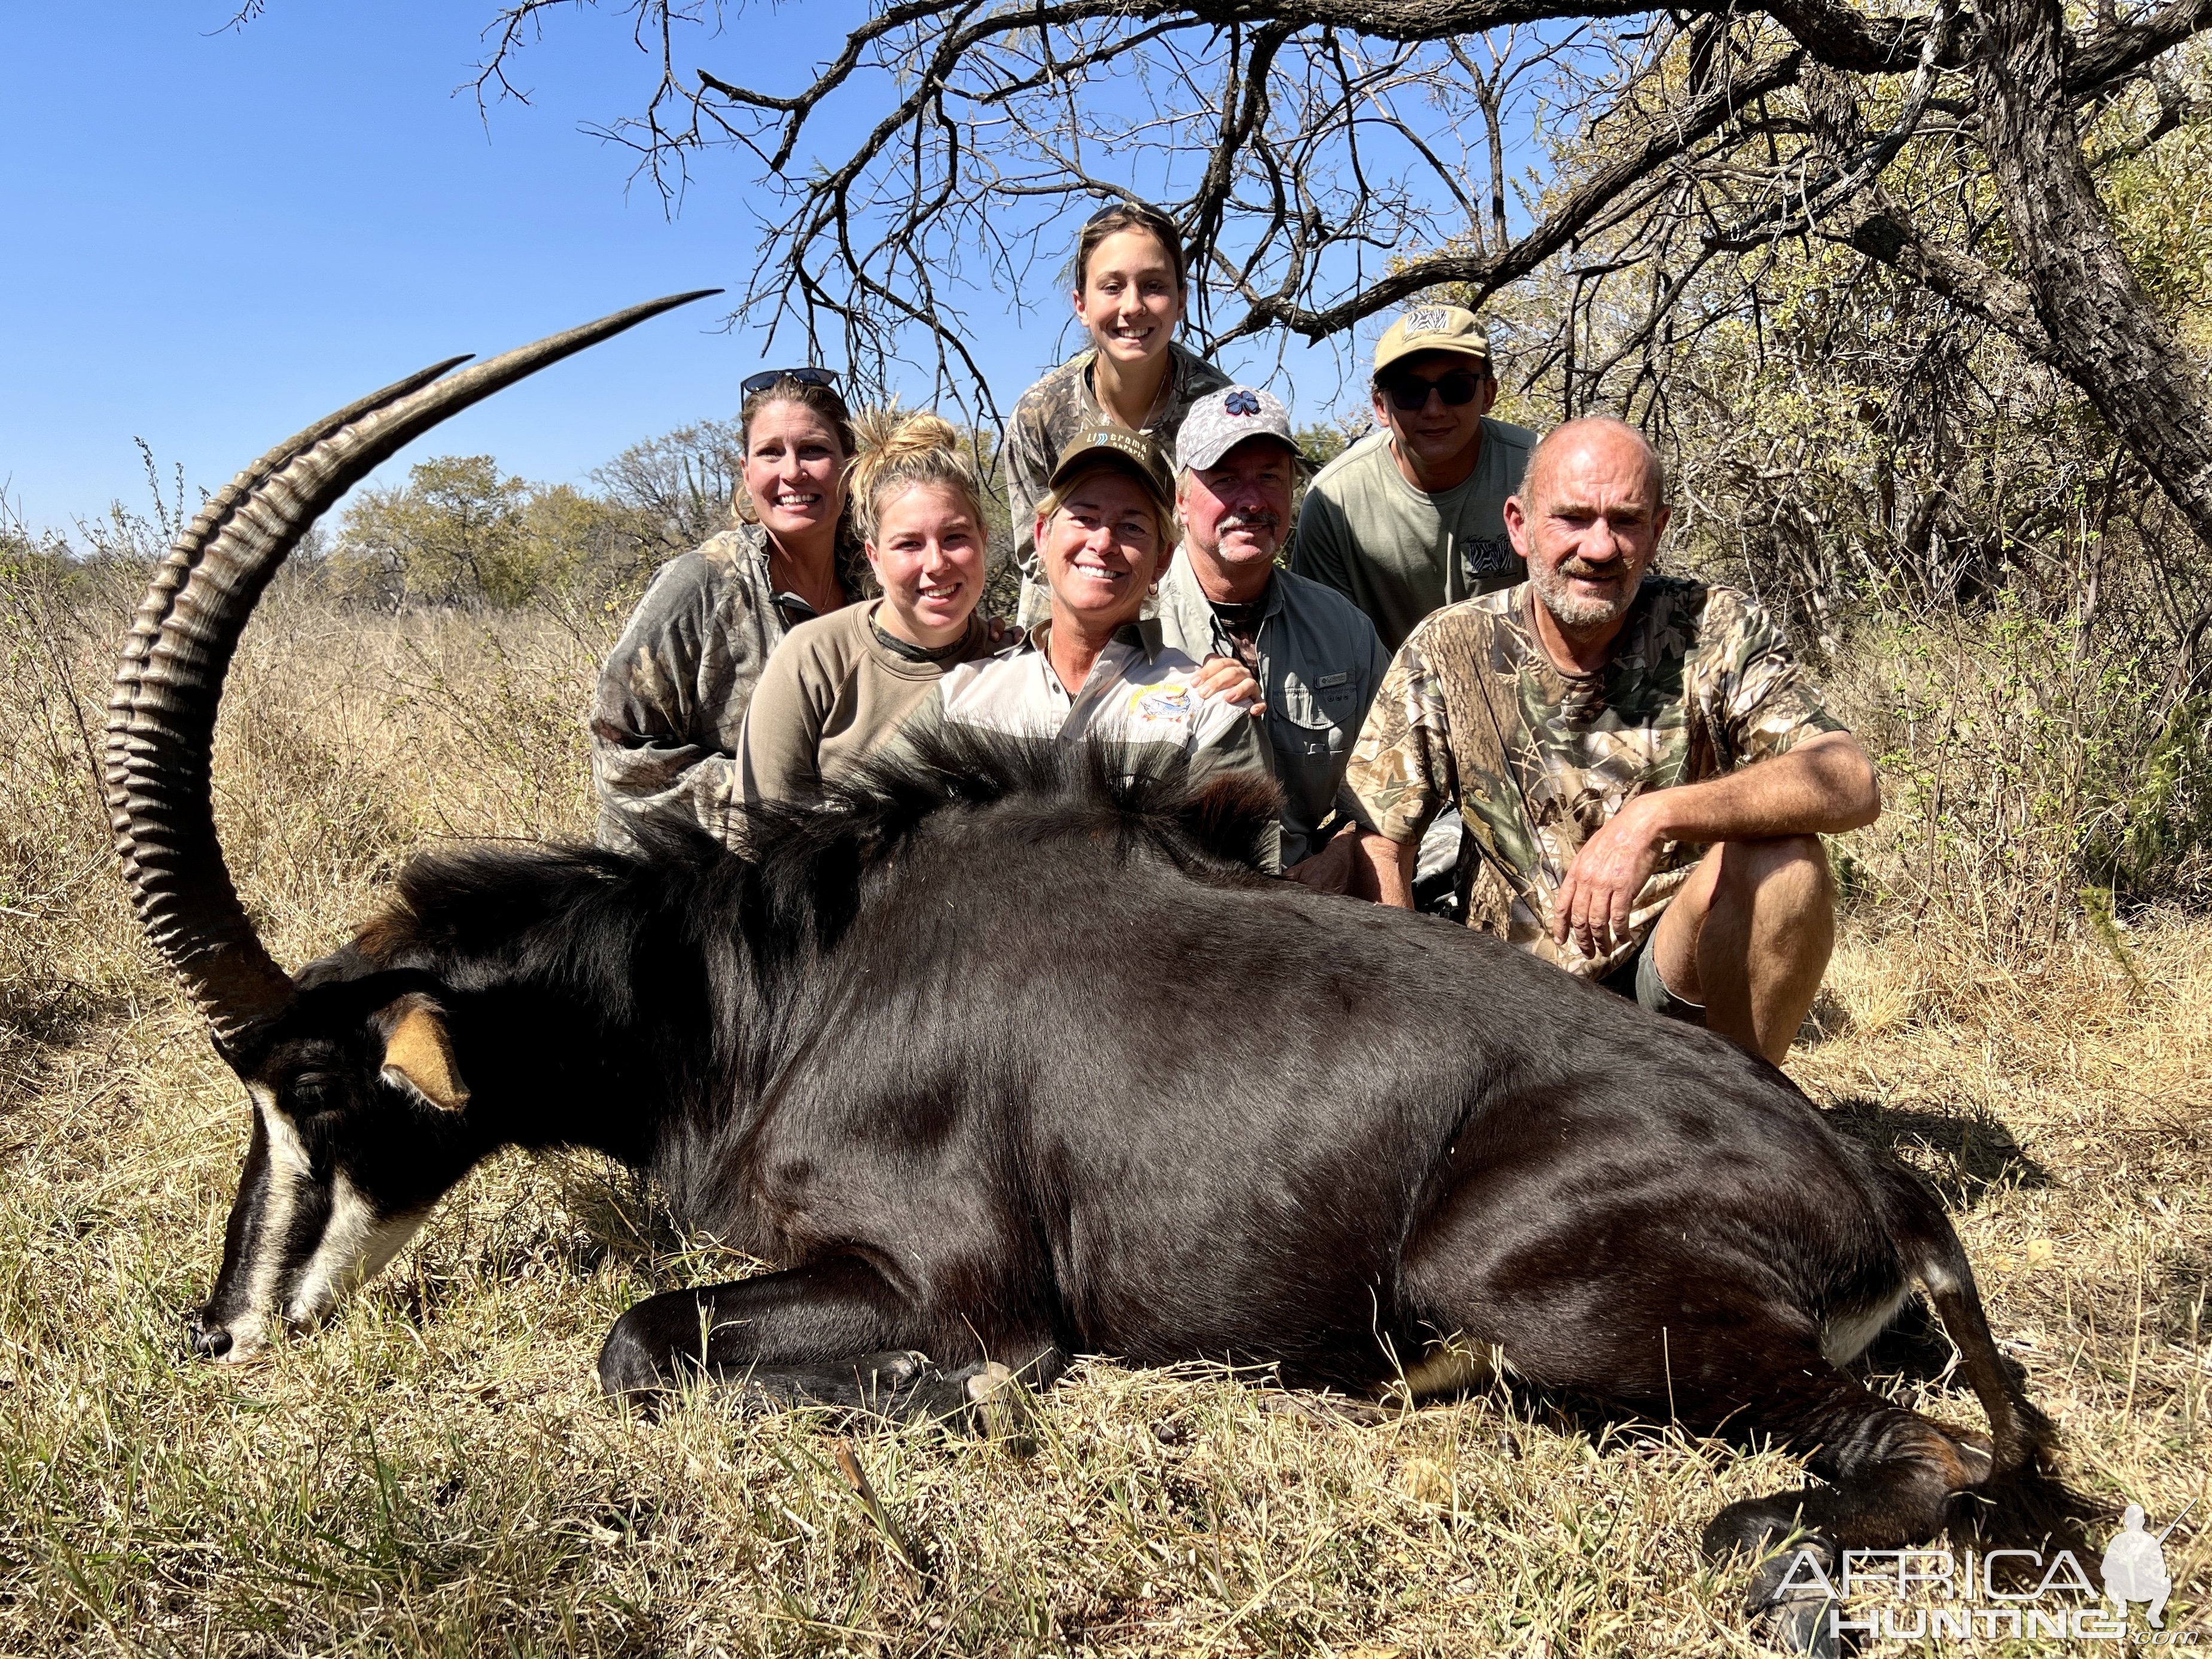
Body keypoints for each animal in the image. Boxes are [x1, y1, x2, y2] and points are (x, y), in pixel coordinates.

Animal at [103, 296, 2070, 1654]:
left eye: (315, 1083)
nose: (217, 1331)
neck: (772, 983)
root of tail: (1871, 1184)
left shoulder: (948, 1280)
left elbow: (643, 1338)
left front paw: (957, 1406)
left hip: (1512, 1276)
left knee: (1914, 1464)